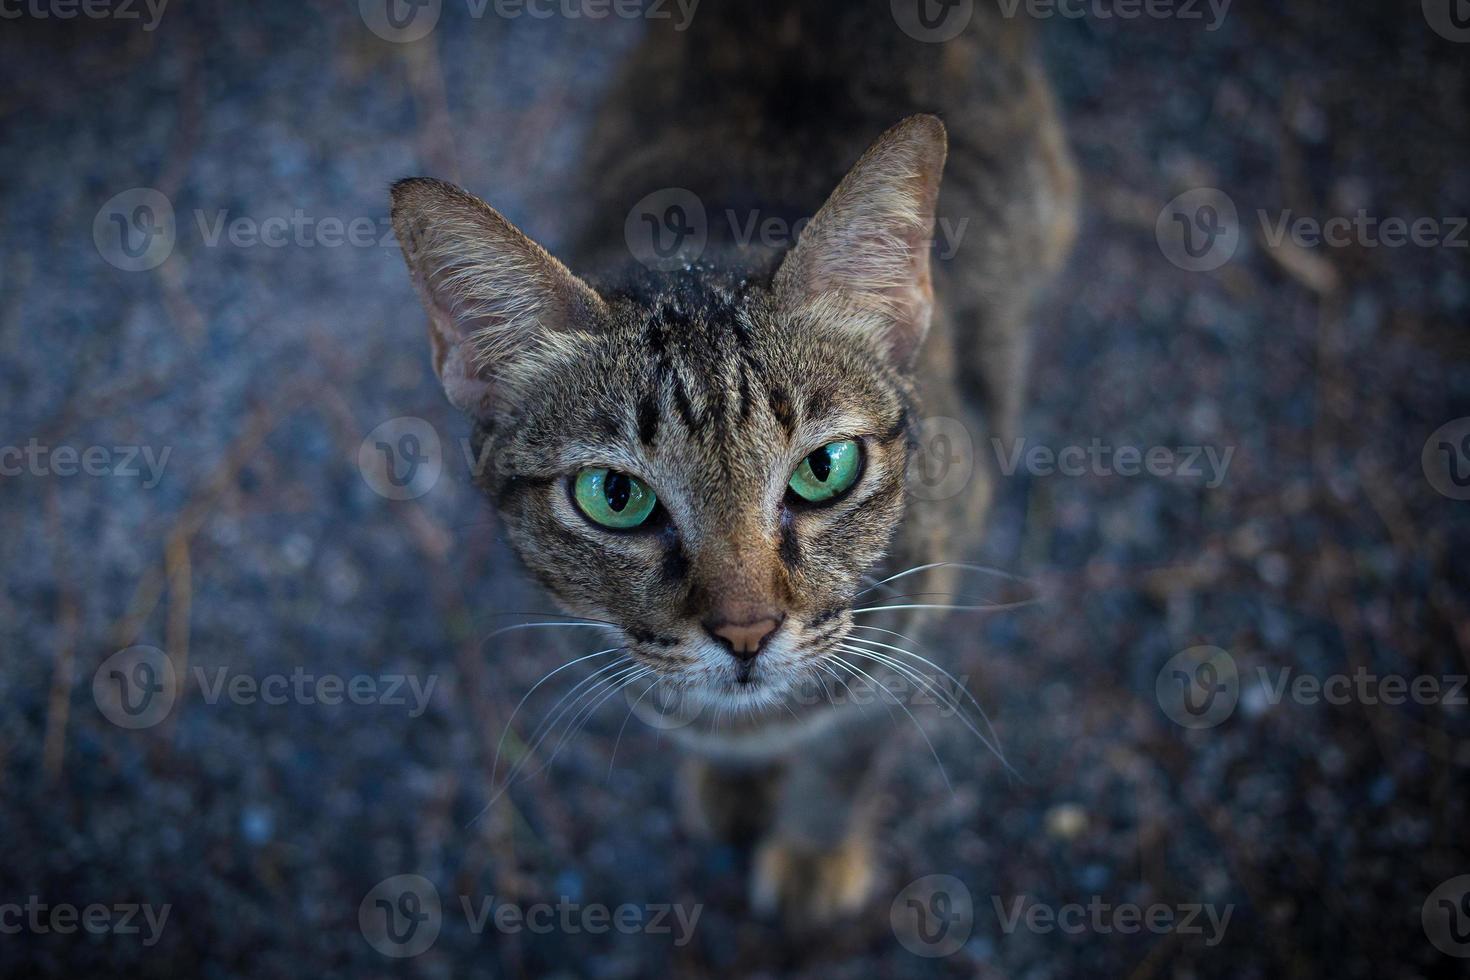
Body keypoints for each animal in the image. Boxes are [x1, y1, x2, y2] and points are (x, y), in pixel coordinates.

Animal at [391, 0, 1081, 928]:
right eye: (615, 495)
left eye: (825, 468)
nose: (746, 632)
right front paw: (734, 784)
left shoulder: (917, 635)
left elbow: (845, 755)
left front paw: (813, 850)